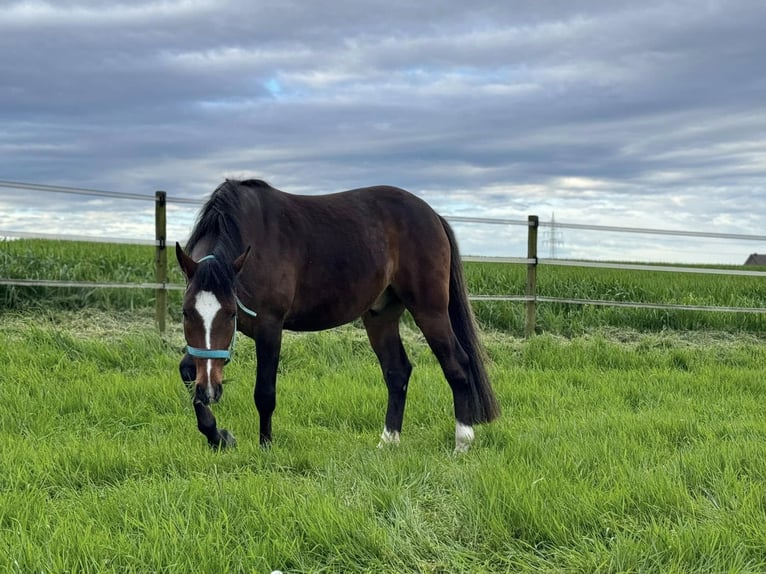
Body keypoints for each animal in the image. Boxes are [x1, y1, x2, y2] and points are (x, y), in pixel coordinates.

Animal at [178, 180, 504, 454]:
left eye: (230, 312)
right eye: (185, 312)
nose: (210, 391)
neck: (250, 238)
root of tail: (433, 215)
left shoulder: (270, 327)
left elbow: (265, 393)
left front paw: (265, 448)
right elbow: (187, 371)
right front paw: (218, 435)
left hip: (430, 309)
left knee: (457, 364)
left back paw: (462, 442)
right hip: (380, 316)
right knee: (397, 372)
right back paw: (388, 442)